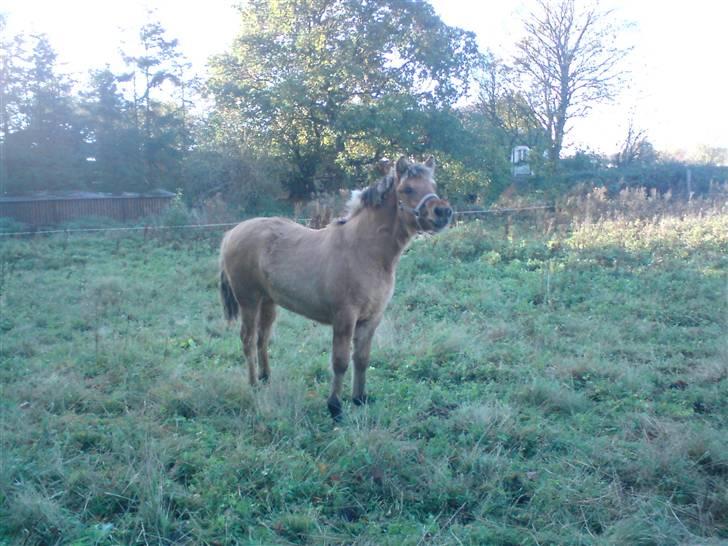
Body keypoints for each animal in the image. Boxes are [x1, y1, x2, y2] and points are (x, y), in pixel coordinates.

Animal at [219, 155, 452, 418]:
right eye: (408, 189)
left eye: (433, 186)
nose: (443, 212)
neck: (364, 251)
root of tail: (232, 232)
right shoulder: (344, 317)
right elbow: (340, 361)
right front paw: (335, 407)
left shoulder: (371, 319)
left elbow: (362, 359)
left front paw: (359, 399)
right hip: (248, 300)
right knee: (248, 340)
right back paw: (254, 385)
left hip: (268, 301)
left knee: (262, 338)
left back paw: (266, 377)